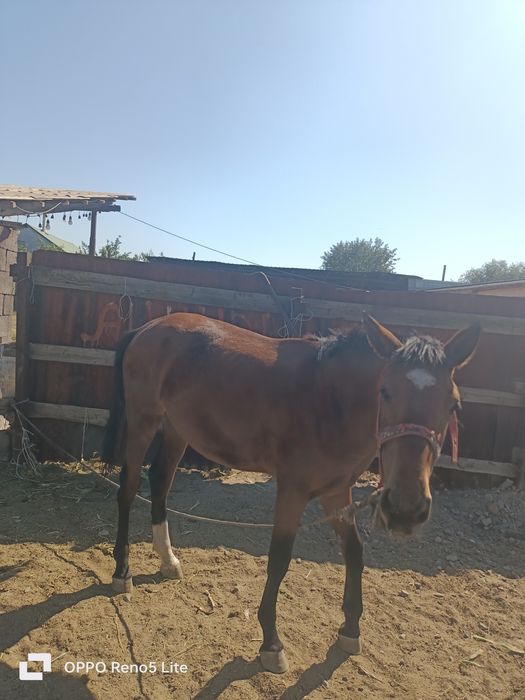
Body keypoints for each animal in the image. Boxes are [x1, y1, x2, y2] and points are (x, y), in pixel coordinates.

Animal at [102, 312, 480, 674]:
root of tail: (147, 327)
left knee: (160, 482)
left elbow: (354, 553)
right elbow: (279, 560)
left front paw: (350, 629)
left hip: (177, 431)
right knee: (128, 489)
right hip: (142, 423)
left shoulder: (336, 493)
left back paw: (167, 560)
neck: (330, 401)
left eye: (453, 405)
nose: (405, 510)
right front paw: (272, 644)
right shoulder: (292, 491)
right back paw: (122, 571)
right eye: (385, 392)